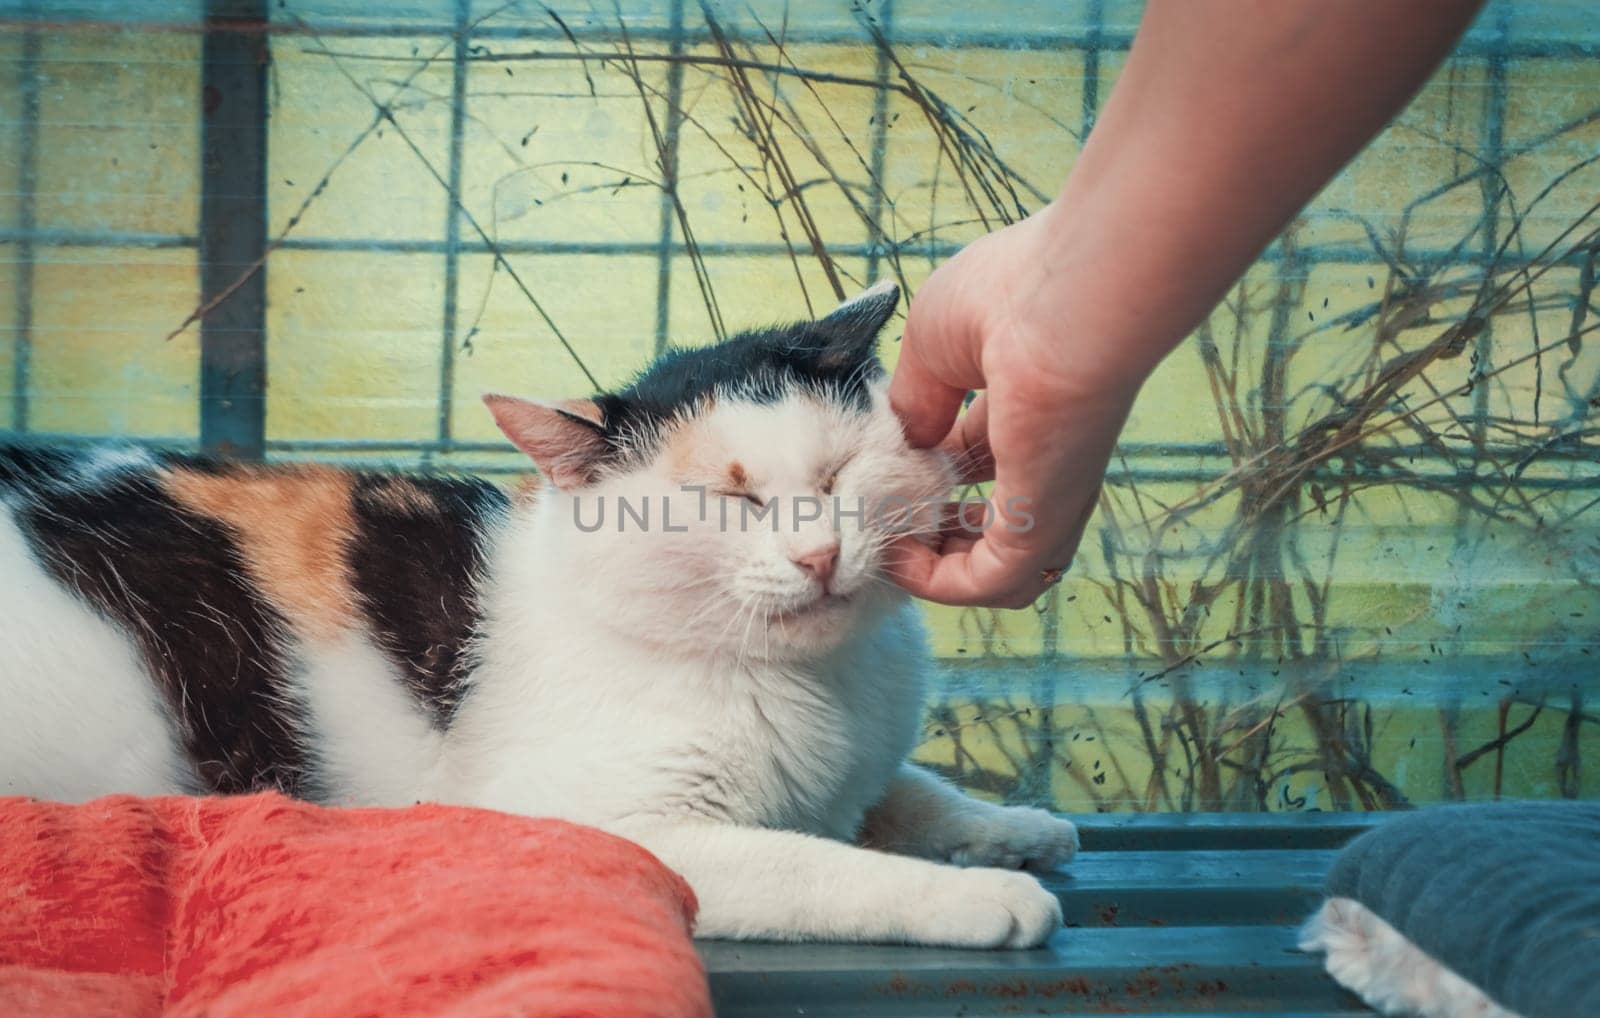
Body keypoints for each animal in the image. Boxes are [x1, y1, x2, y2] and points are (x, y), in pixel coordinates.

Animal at [3, 284, 1075, 947]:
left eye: (837, 474)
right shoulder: (594, 824)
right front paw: (983, 896)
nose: (817, 556)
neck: (822, 688)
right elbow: (819, 866)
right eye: (727, 503)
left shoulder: (859, 768)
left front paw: (1015, 825)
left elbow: (904, 791)